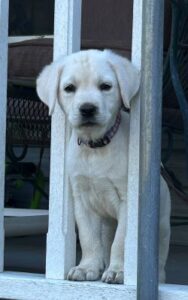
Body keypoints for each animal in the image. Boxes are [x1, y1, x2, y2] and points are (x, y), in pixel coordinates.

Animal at [36, 49, 170, 284]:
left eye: (105, 86)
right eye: (69, 88)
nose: (88, 108)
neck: (96, 147)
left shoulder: (128, 202)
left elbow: (122, 241)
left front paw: (119, 271)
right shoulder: (81, 200)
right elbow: (88, 238)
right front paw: (86, 267)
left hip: (162, 225)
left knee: (159, 258)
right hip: (107, 223)